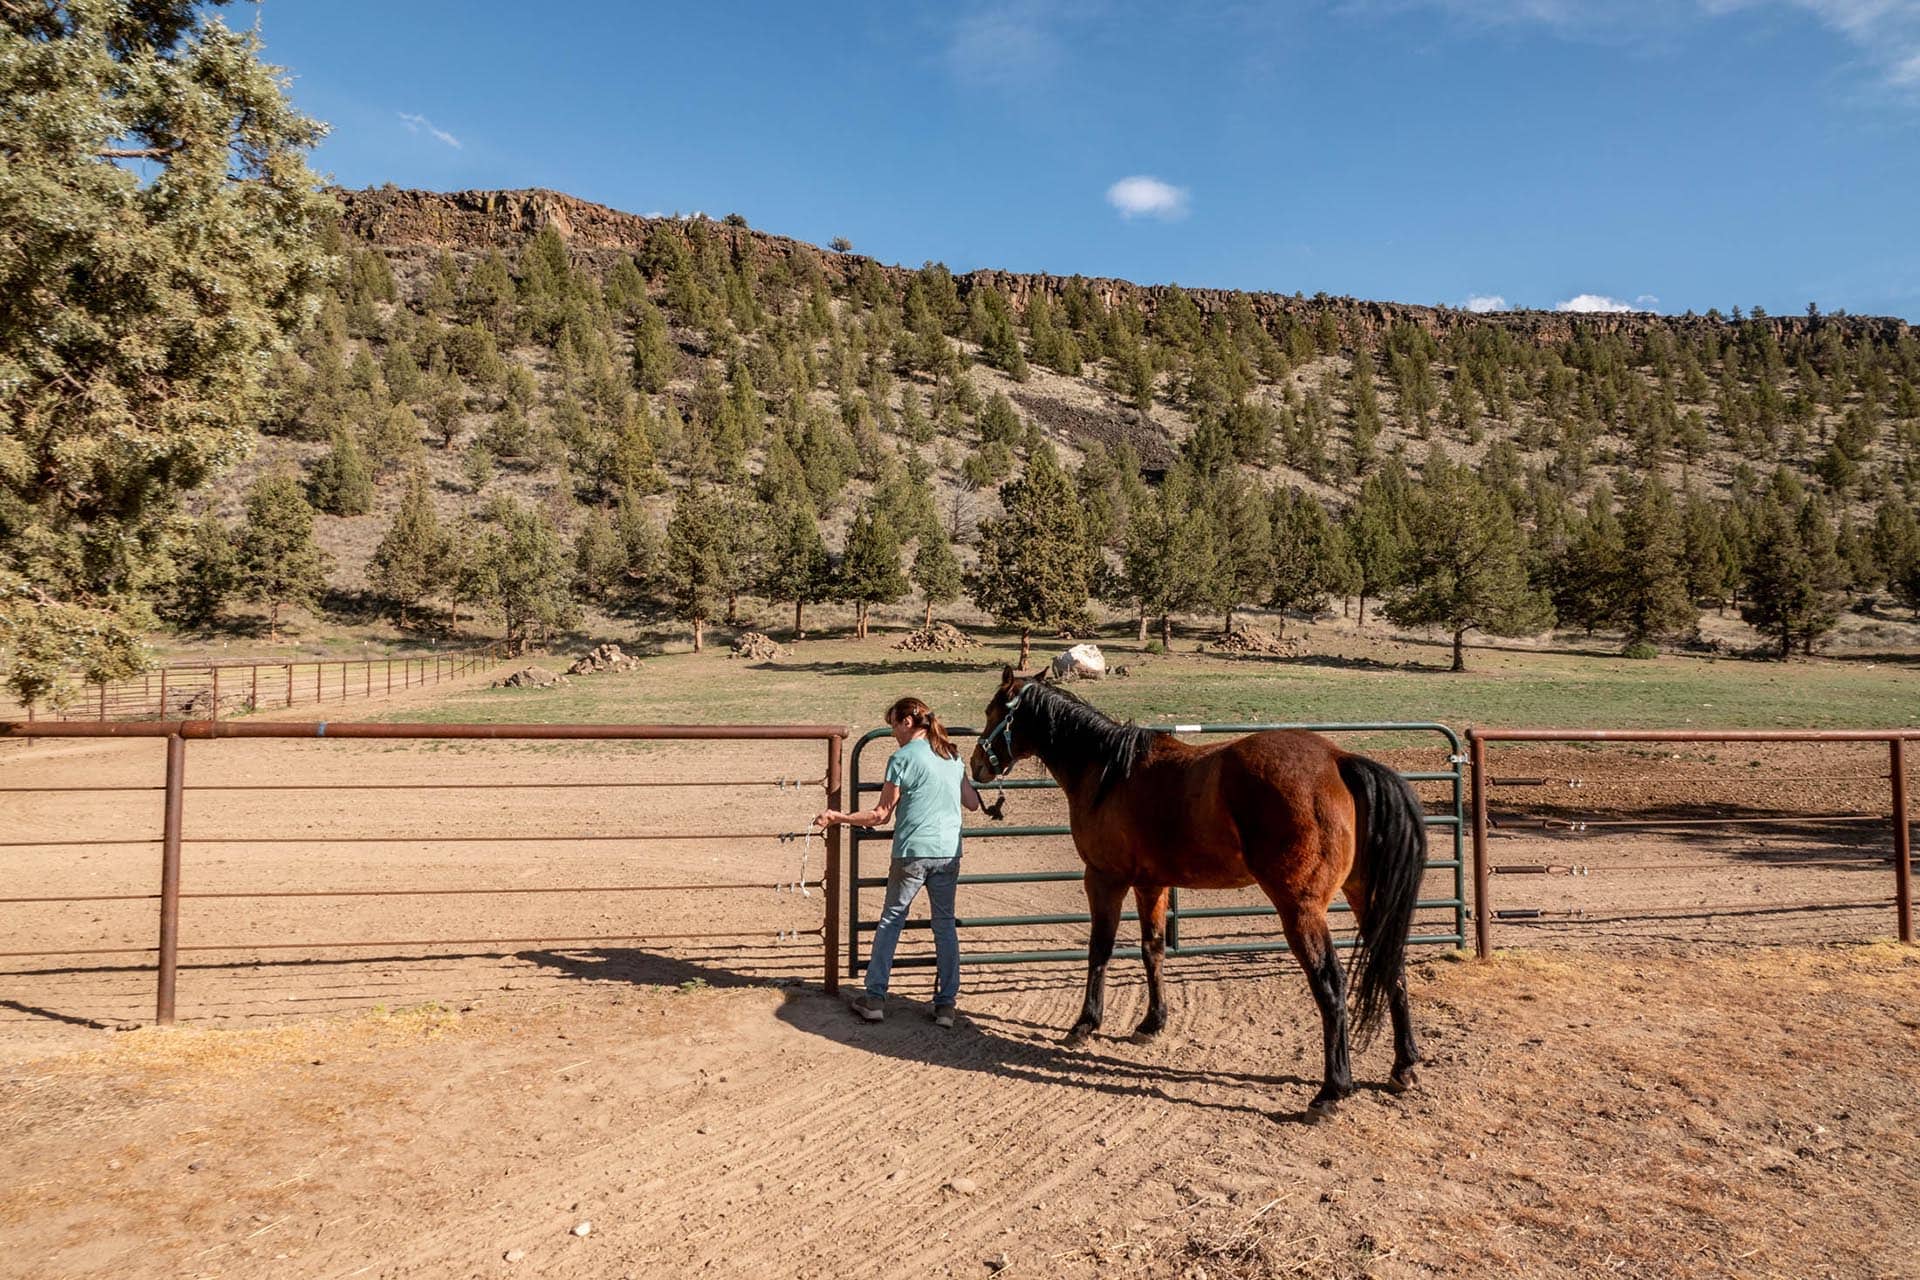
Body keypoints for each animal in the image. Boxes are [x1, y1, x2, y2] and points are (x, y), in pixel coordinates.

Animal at [968, 667, 1427, 1120]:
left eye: (993, 711)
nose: (976, 764)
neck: (1106, 772)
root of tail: (1339, 760)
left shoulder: (1104, 879)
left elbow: (1100, 949)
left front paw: (1085, 1024)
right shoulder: (1151, 884)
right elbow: (1153, 949)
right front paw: (1152, 1023)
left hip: (1300, 910)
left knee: (1329, 984)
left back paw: (1332, 1091)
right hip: (1364, 897)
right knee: (1391, 965)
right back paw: (1403, 1067)